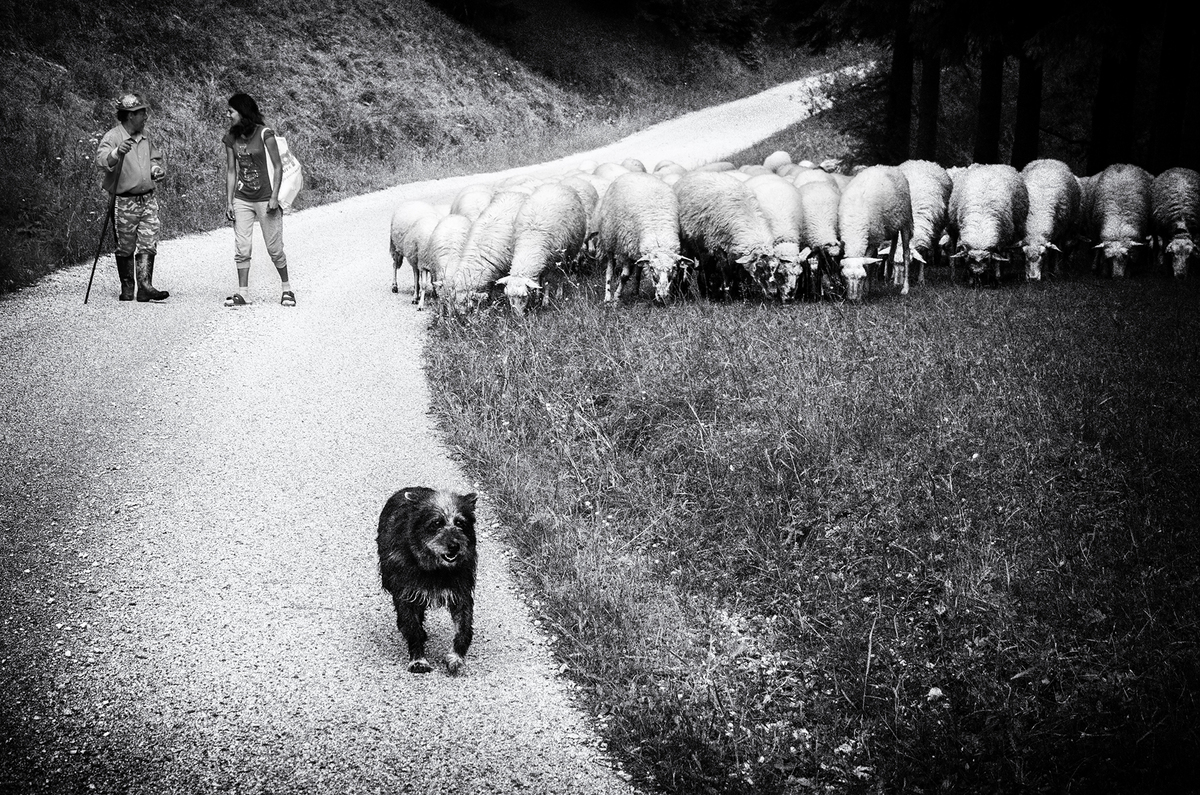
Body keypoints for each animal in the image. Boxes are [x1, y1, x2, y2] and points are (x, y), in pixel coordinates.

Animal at [496, 183, 587, 314]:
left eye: (524, 296)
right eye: (509, 297)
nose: (518, 316)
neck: (531, 242)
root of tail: (557, 184)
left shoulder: (552, 263)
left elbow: (547, 283)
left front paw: (545, 301)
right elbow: (538, 282)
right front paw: (537, 297)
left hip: (567, 254)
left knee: (562, 274)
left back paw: (559, 293)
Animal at [595, 172, 692, 304]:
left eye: (674, 268)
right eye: (651, 268)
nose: (662, 296)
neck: (657, 230)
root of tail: (634, 172)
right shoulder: (626, 249)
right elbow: (624, 276)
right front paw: (616, 298)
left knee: (638, 270)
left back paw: (635, 292)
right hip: (609, 238)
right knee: (609, 269)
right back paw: (607, 297)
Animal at [674, 170, 778, 300]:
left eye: (776, 268)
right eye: (759, 267)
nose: (773, 293)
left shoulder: (734, 251)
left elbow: (738, 273)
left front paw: (740, 293)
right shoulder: (717, 246)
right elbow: (726, 271)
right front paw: (728, 295)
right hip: (687, 243)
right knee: (687, 268)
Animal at [837, 165, 913, 301]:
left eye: (861, 277)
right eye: (845, 277)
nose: (853, 300)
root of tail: (888, 167)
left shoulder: (874, 240)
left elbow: (868, 265)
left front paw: (865, 290)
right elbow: (871, 262)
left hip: (906, 219)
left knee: (906, 253)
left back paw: (905, 288)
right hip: (891, 223)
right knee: (893, 246)